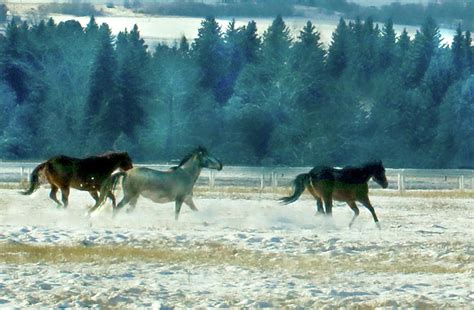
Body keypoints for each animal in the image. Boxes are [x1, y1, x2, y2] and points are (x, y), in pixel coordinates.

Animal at [90, 147, 223, 219]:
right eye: (209, 158)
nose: (221, 165)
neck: (186, 174)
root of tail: (126, 173)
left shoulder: (187, 199)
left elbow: (196, 210)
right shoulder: (179, 199)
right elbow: (176, 214)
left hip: (134, 197)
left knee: (127, 210)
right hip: (129, 195)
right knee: (118, 207)